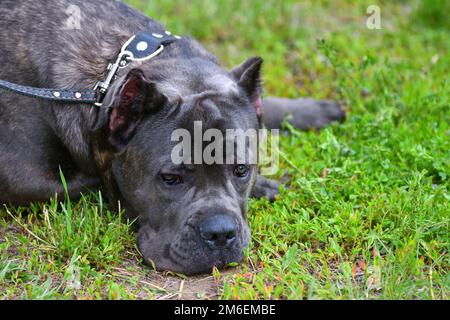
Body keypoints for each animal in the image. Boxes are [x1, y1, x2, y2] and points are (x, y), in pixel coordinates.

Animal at [0, 0, 344, 276]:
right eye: (169, 178)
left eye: (241, 170)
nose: (220, 233)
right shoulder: (26, 178)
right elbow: (96, 181)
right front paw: (265, 186)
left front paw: (312, 110)